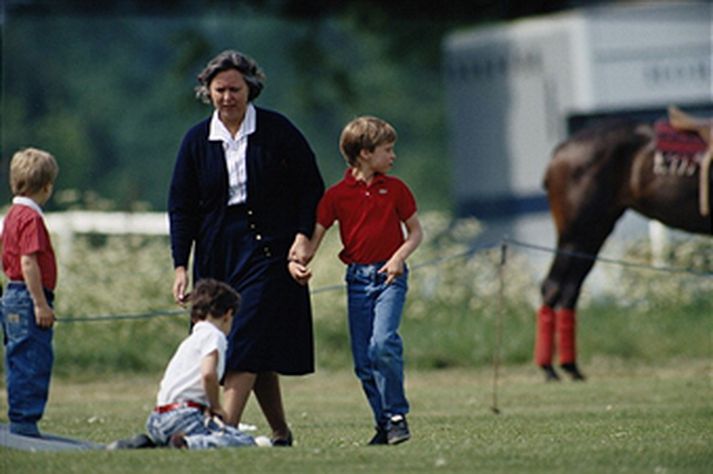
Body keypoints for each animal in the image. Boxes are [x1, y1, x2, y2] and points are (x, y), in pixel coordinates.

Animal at [536, 110, 708, 382]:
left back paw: (570, 367)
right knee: (553, 286)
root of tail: (559, 151)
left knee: (570, 289)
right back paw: (549, 368)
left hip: (594, 232)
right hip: (574, 233)